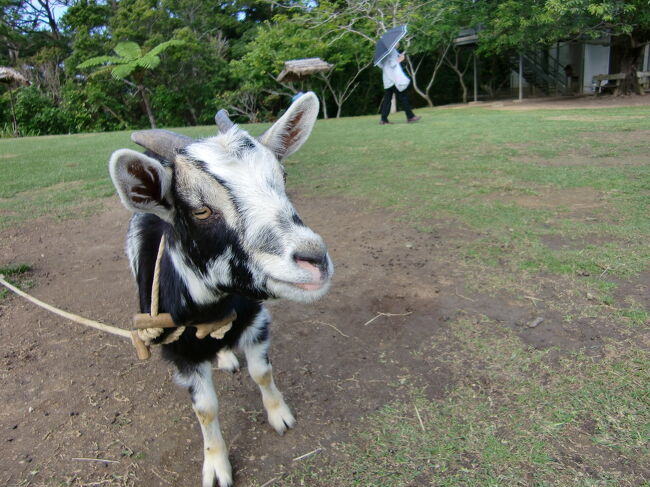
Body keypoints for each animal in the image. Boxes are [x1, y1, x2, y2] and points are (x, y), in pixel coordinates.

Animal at [108, 92, 332, 487]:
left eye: (283, 177)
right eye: (200, 210)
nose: (314, 259)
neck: (212, 309)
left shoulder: (255, 320)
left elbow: (262, 372)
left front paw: (280, 415)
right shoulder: (181, 353)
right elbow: (206, 410)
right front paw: (216, 466)